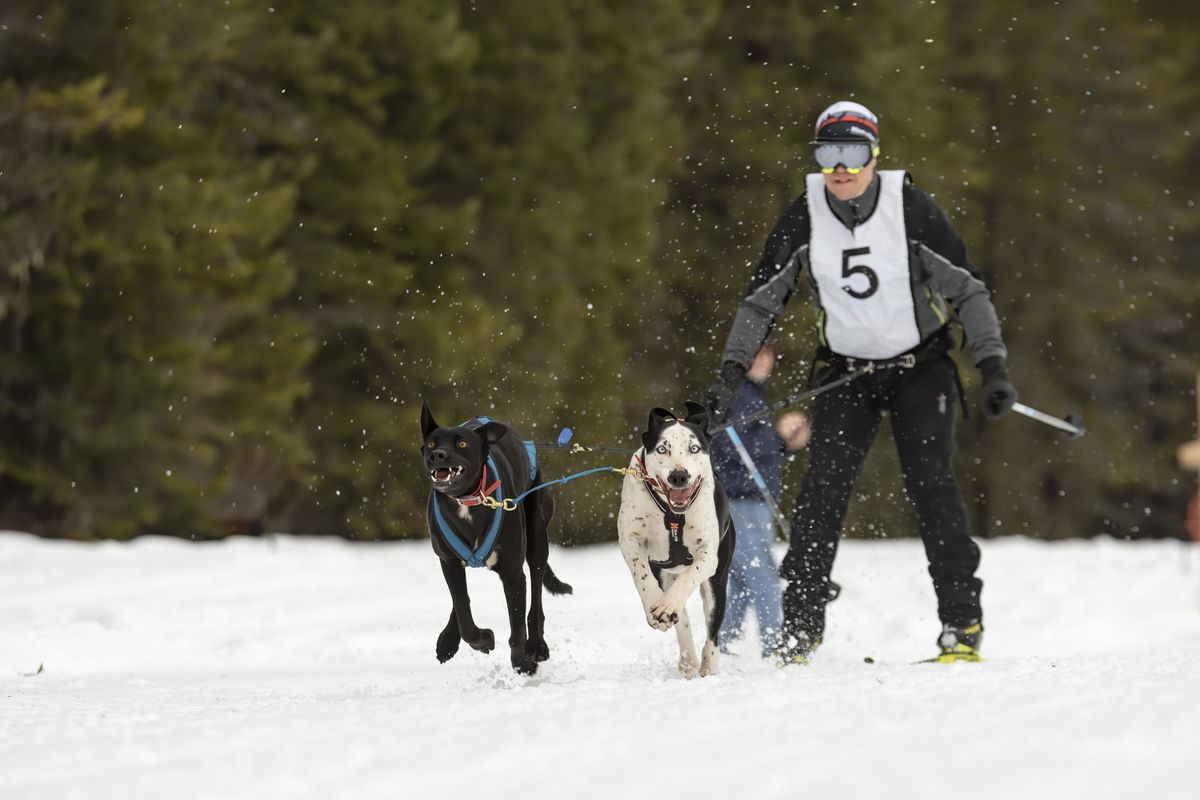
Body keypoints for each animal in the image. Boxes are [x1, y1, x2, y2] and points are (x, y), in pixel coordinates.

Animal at [422, 402, 571, 671]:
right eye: (431, 443)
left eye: (462, 444)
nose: (437, 454)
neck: (468, 499)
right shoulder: (448, 561)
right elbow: (464, 613)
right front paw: (482, 640)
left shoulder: (512, 572)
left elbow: (517, 624)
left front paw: (522, 662)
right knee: (461, 603)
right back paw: (448, 640)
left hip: (537, 539)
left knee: (535, 600)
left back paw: (537, 646)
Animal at [619, 400, 739, 676]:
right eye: (663, 449)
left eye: (694, 448)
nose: (679, 476)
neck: (673, 514)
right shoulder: (630, 541)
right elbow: (641, 575)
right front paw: (655, 606)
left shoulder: (708, 557)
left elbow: (689, 578)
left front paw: (666, 606)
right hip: (665, 573)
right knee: (682, 618)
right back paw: (687, 659)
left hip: (717, 582)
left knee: (713, 629)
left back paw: (706, 664)